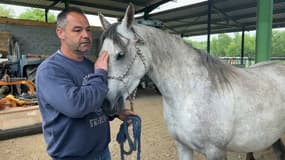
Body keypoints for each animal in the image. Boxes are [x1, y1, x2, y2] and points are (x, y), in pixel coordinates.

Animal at [98, 3, 284, 160]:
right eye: (102, 55)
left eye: (121, 54)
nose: (106, 103)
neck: (190, 94)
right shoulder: (183, 146)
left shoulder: (215, 151)